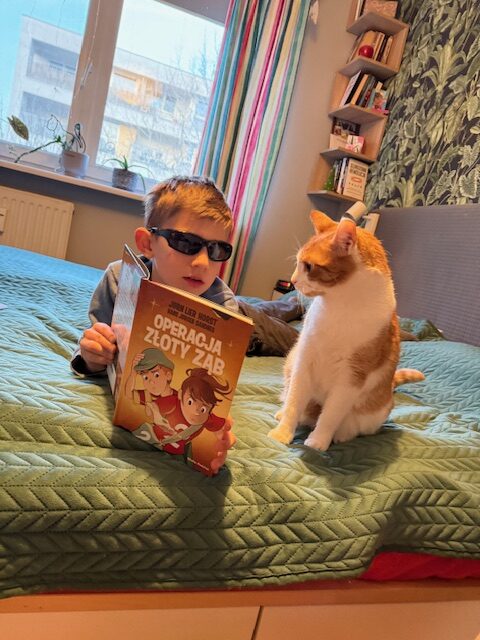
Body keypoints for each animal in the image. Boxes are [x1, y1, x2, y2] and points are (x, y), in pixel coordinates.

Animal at [269, 209, 424, 451]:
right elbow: (294, 403)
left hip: (372, 412)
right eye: (297, 263)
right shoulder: (304, 362)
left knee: (347, 425)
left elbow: (330, 415)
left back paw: (341, 435)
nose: (293, 280)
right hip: (291, 364)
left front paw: (318, 442)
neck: (340, 306)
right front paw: (282, 433)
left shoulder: (351, 378)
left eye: (308, 267)